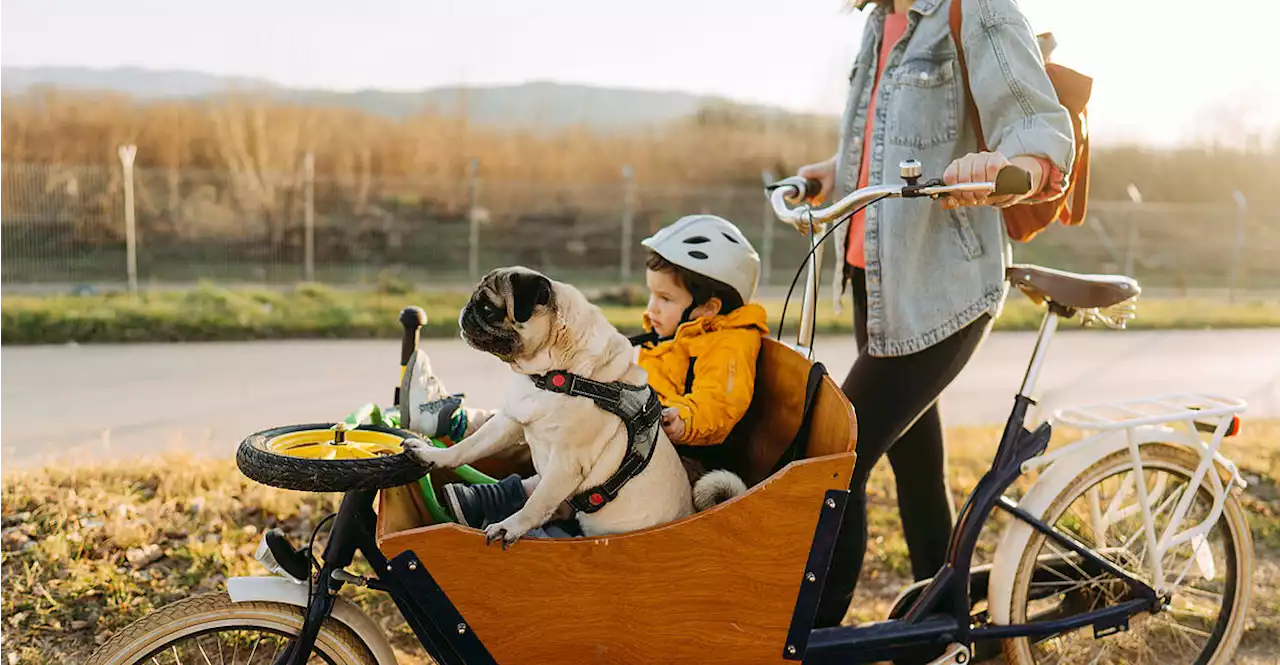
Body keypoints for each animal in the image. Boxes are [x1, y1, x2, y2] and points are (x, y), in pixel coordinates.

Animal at [404, 266, 696, 544]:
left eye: (488, 309)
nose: (466, 310)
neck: (553, 375)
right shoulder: (508, 422)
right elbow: (467, 447)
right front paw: (434, 455)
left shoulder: (566, 463)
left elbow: (536, 503)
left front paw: (510, 526)